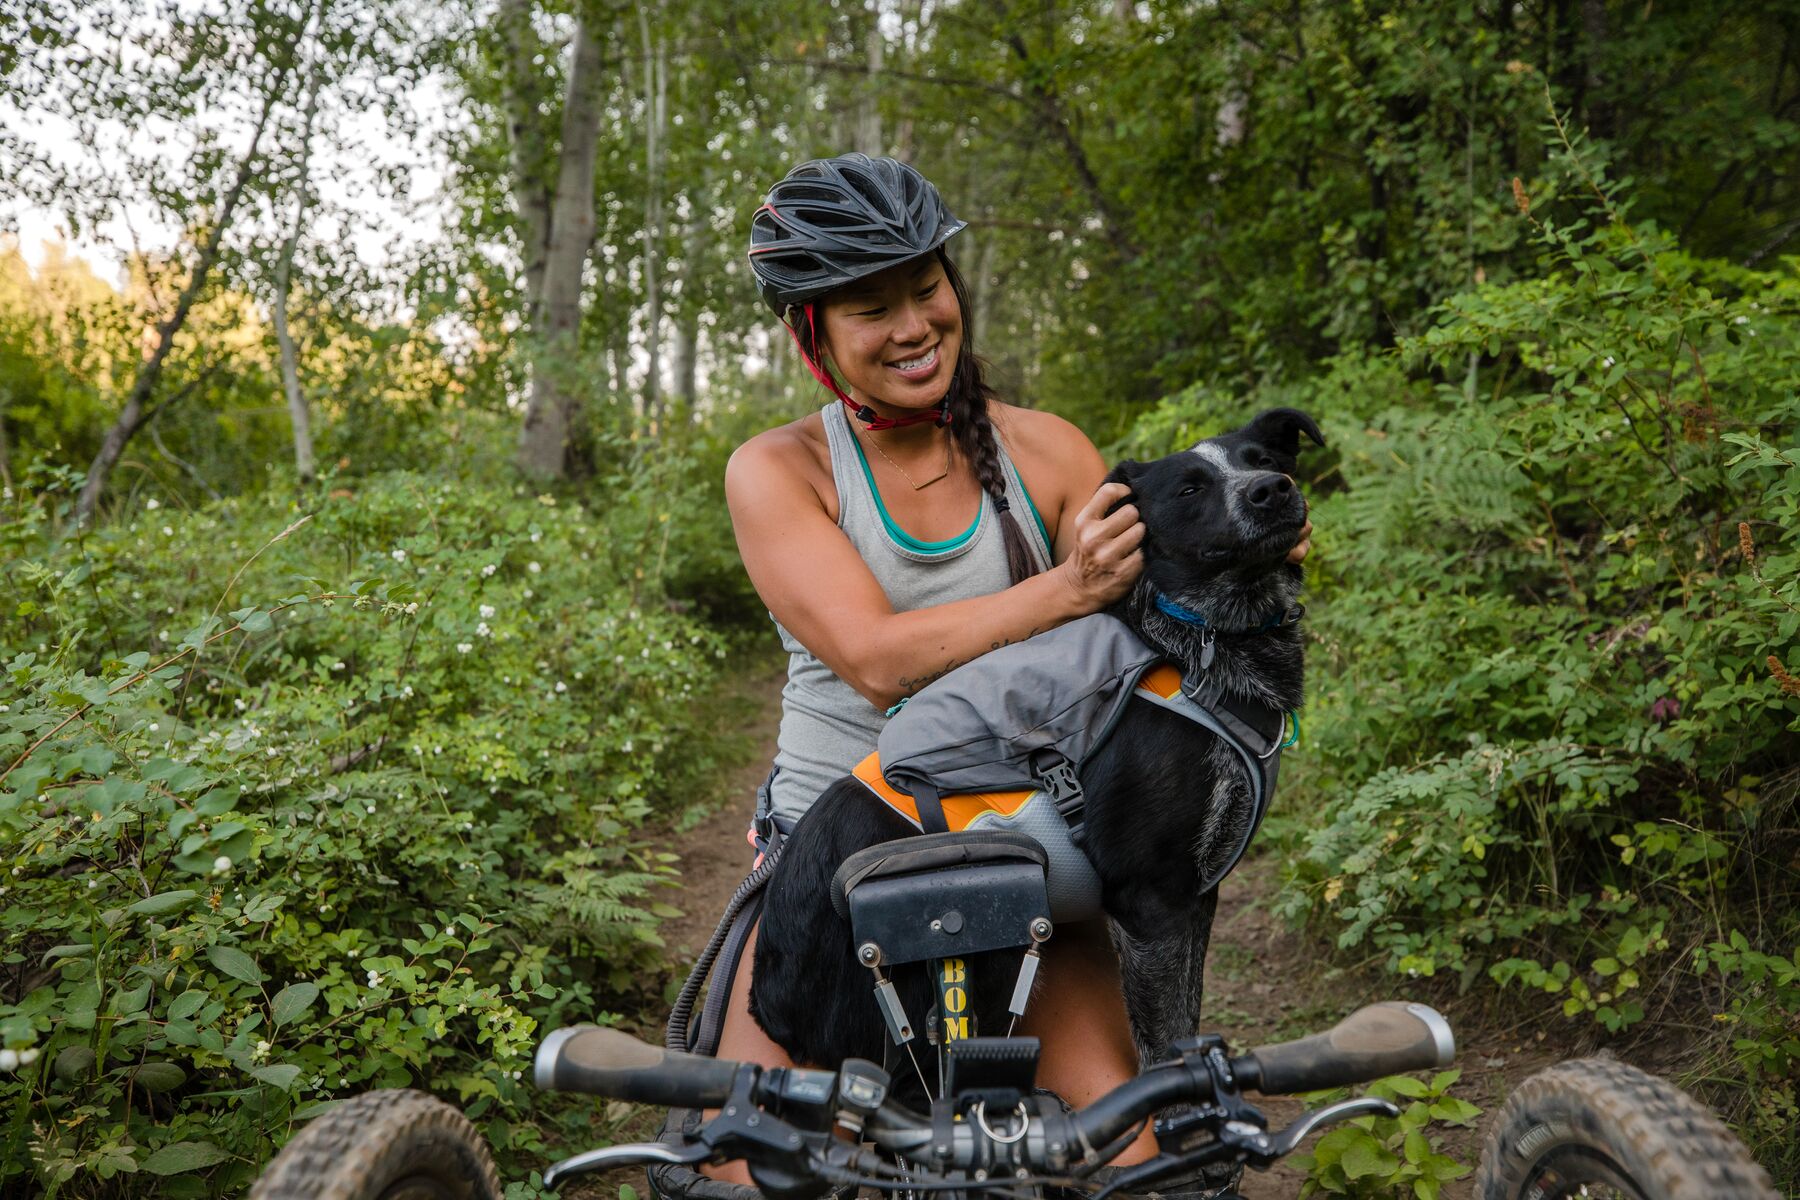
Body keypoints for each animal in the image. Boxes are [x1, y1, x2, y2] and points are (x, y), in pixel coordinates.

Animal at [745, 408, 1324, 1072]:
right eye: (1189, 489)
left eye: (1265, 460)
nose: (1271, 489)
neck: (1199, 642)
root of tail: (766, 1003)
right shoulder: (1150, 900)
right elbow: (1165, 1046)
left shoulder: (1195, 895)